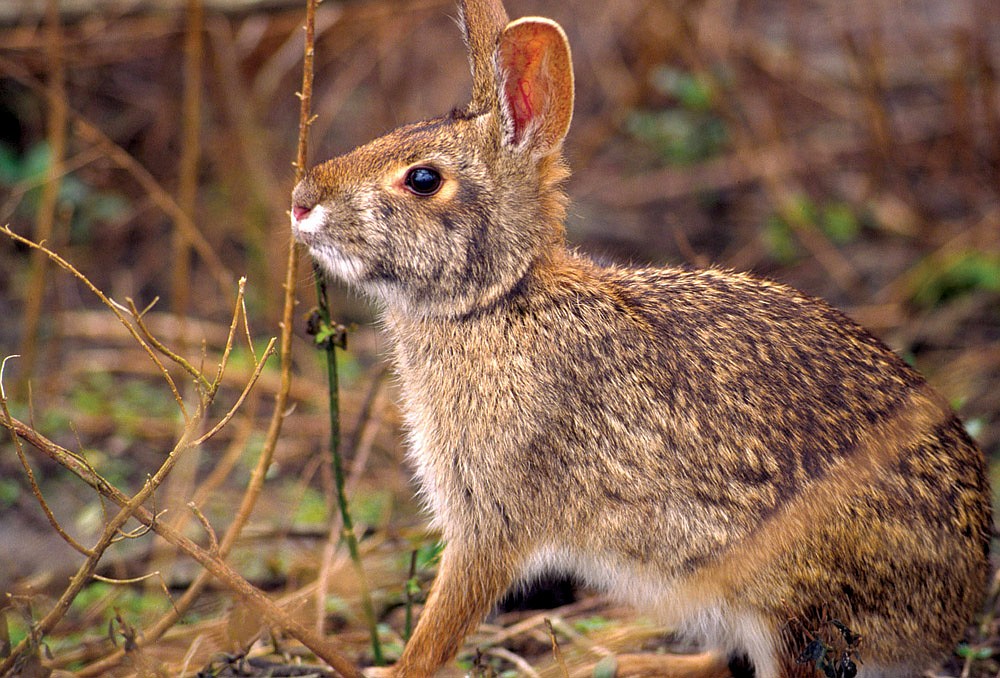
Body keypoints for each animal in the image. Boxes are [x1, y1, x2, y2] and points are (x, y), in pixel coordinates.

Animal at [289, 0, 993, 676]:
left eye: (423, 180)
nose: (301, 202)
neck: (499, 300)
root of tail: (954, 610)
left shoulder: (491, 520)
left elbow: (442, 627)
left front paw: (394, 670)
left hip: (792, 603)